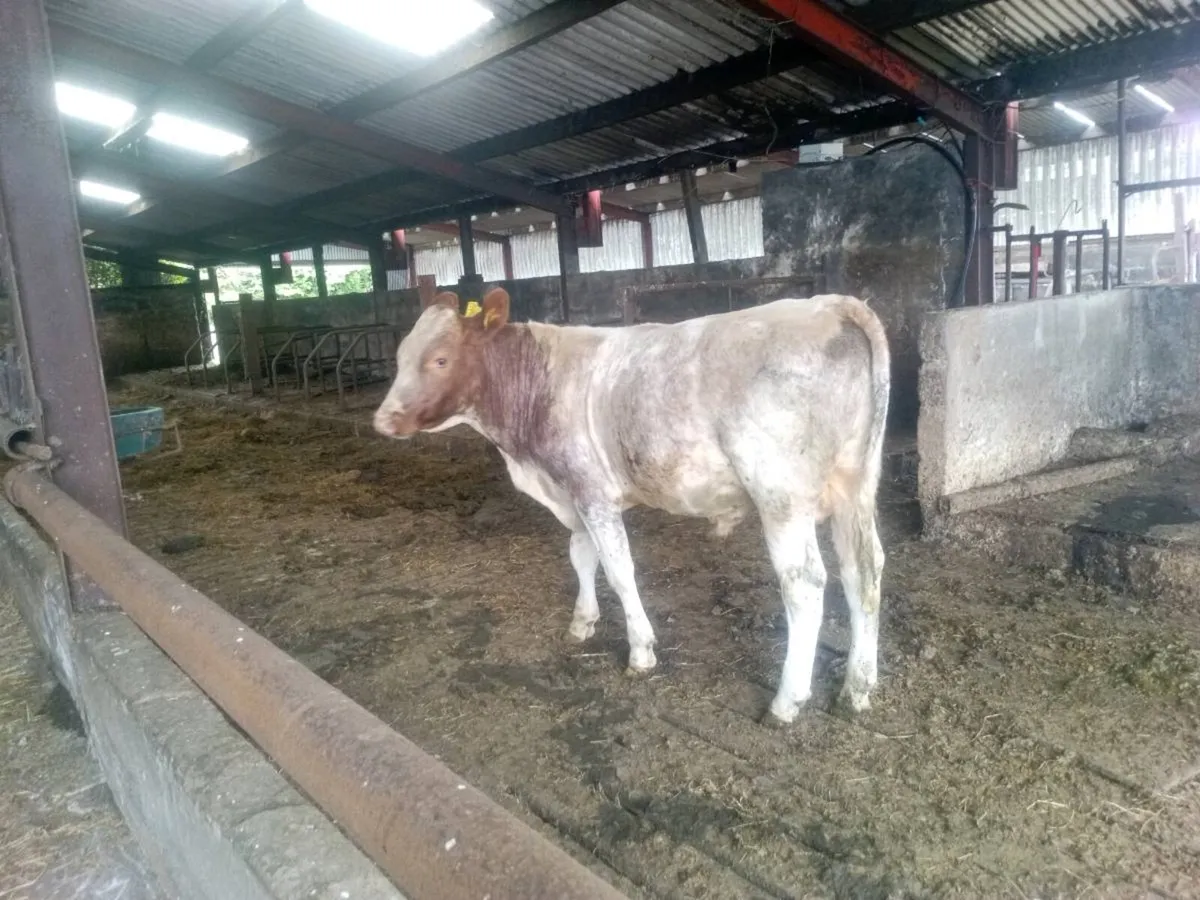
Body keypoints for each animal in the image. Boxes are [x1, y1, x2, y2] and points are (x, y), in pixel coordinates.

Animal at [374, 287, 890, 724]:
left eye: (440, 359)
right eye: (400, 356)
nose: (383, 420)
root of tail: (829, 304)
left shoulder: (591, 490)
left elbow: (619, 571)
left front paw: (641, 651)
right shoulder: (573, 491)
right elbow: (581, 555)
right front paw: (582, 621)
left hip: (781, 493)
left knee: (804, 585)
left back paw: (787, 701)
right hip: (856, 486)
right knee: (864, 571)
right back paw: (857, 687)